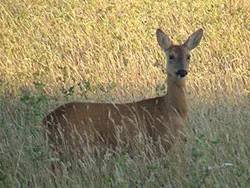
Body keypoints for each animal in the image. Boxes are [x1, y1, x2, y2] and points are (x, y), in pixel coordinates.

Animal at [42, 28, 203, 156]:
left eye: (188, 56)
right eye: (171, 56)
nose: (182, 71)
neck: (171, 109)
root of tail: (47, 120)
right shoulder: (158, 143)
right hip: (76, 144)